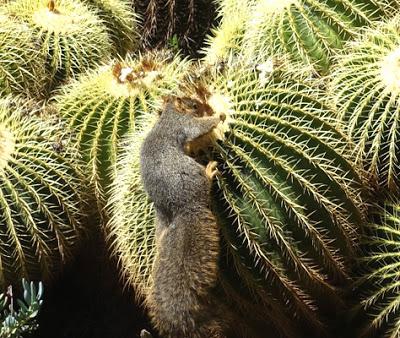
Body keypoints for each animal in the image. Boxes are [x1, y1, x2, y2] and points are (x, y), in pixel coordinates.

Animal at [140, 93, 228, 336]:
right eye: (194, 104)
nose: (205, 107)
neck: (168, 115)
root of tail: (182, 208)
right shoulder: (184, 124)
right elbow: (200, 127)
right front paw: (219, 116)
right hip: (193, 176)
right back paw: (209, 171)